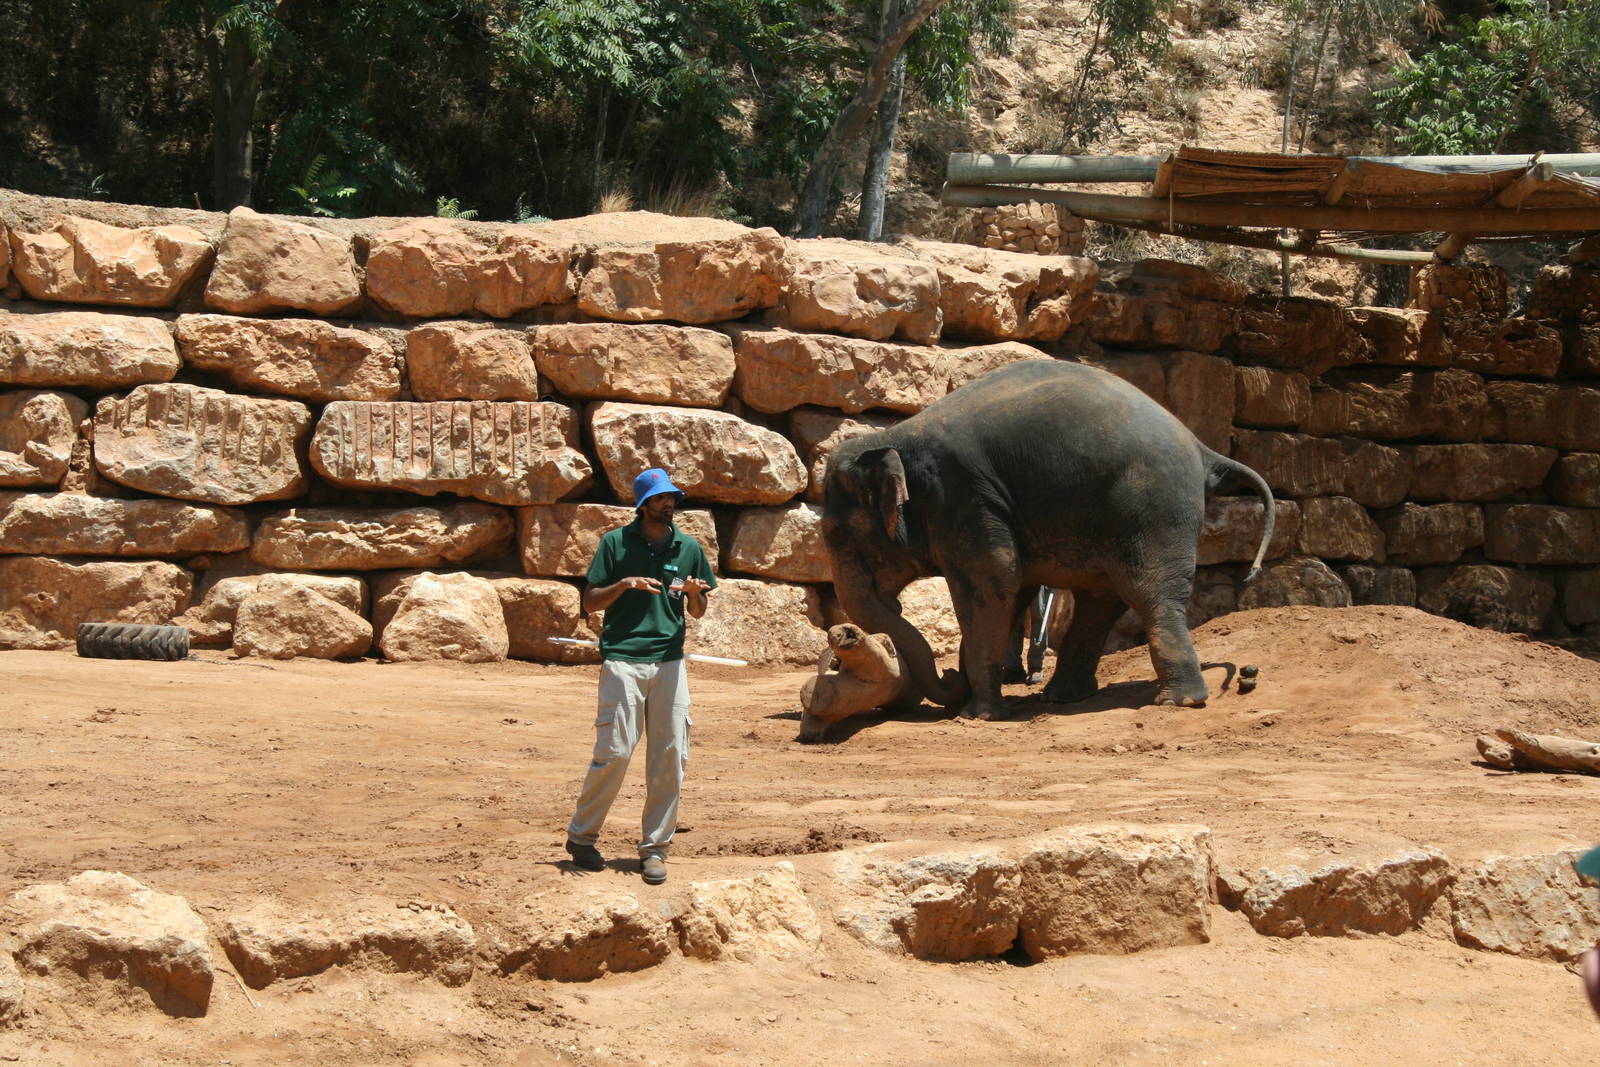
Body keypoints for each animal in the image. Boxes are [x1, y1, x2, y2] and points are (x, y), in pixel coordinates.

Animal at [820, 358, 1275, 722]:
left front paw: (978, 715)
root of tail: (1202, 449)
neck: (896, 436)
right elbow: (1012, 589)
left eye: (835, 533)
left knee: (1148, 592)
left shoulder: (964, 496)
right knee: (1101, 599)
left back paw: (1178, 702)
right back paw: (1063, 698)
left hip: (1154, 507)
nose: (950, 674)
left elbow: (990, 585)